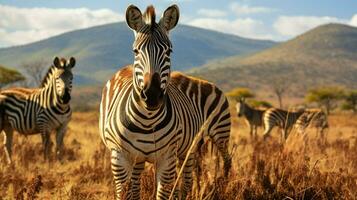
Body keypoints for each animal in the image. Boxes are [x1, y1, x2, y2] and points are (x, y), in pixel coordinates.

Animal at [98, 5, 231, 200]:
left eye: (169, 51)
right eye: (135, 51)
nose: (152, 95)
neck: (147, 120)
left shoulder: (167, 157)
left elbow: (164, 193)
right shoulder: (120, 157)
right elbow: (126, 193)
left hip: (218, 134)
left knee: (221, 164)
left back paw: (222, 188)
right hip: (169, 151)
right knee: (141, 183)